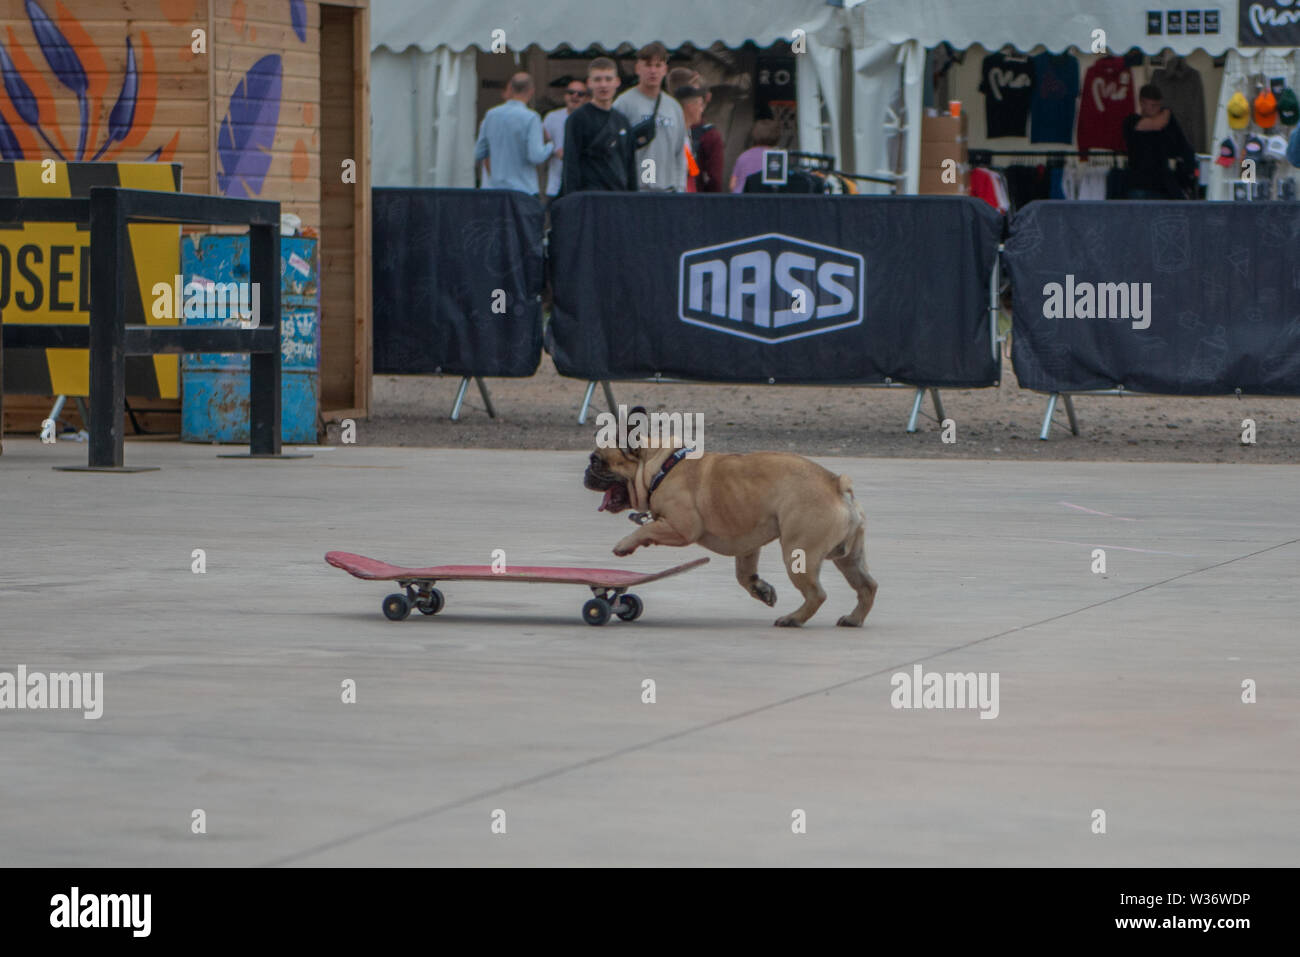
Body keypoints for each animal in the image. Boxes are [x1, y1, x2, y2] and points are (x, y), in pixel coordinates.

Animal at [587, 418, 878, 629]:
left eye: (597, 461)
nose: (586, 472)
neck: (659, 467)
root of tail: (836, 485)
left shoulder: (682, 528)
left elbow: (646, 527)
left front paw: (625, 544)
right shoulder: (747, 543)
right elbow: (744, 575)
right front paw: (762, 590)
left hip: (799, 553)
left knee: (817, 594)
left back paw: (793, 619)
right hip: (849, 557)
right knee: (867, 586)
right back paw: (854, 619)